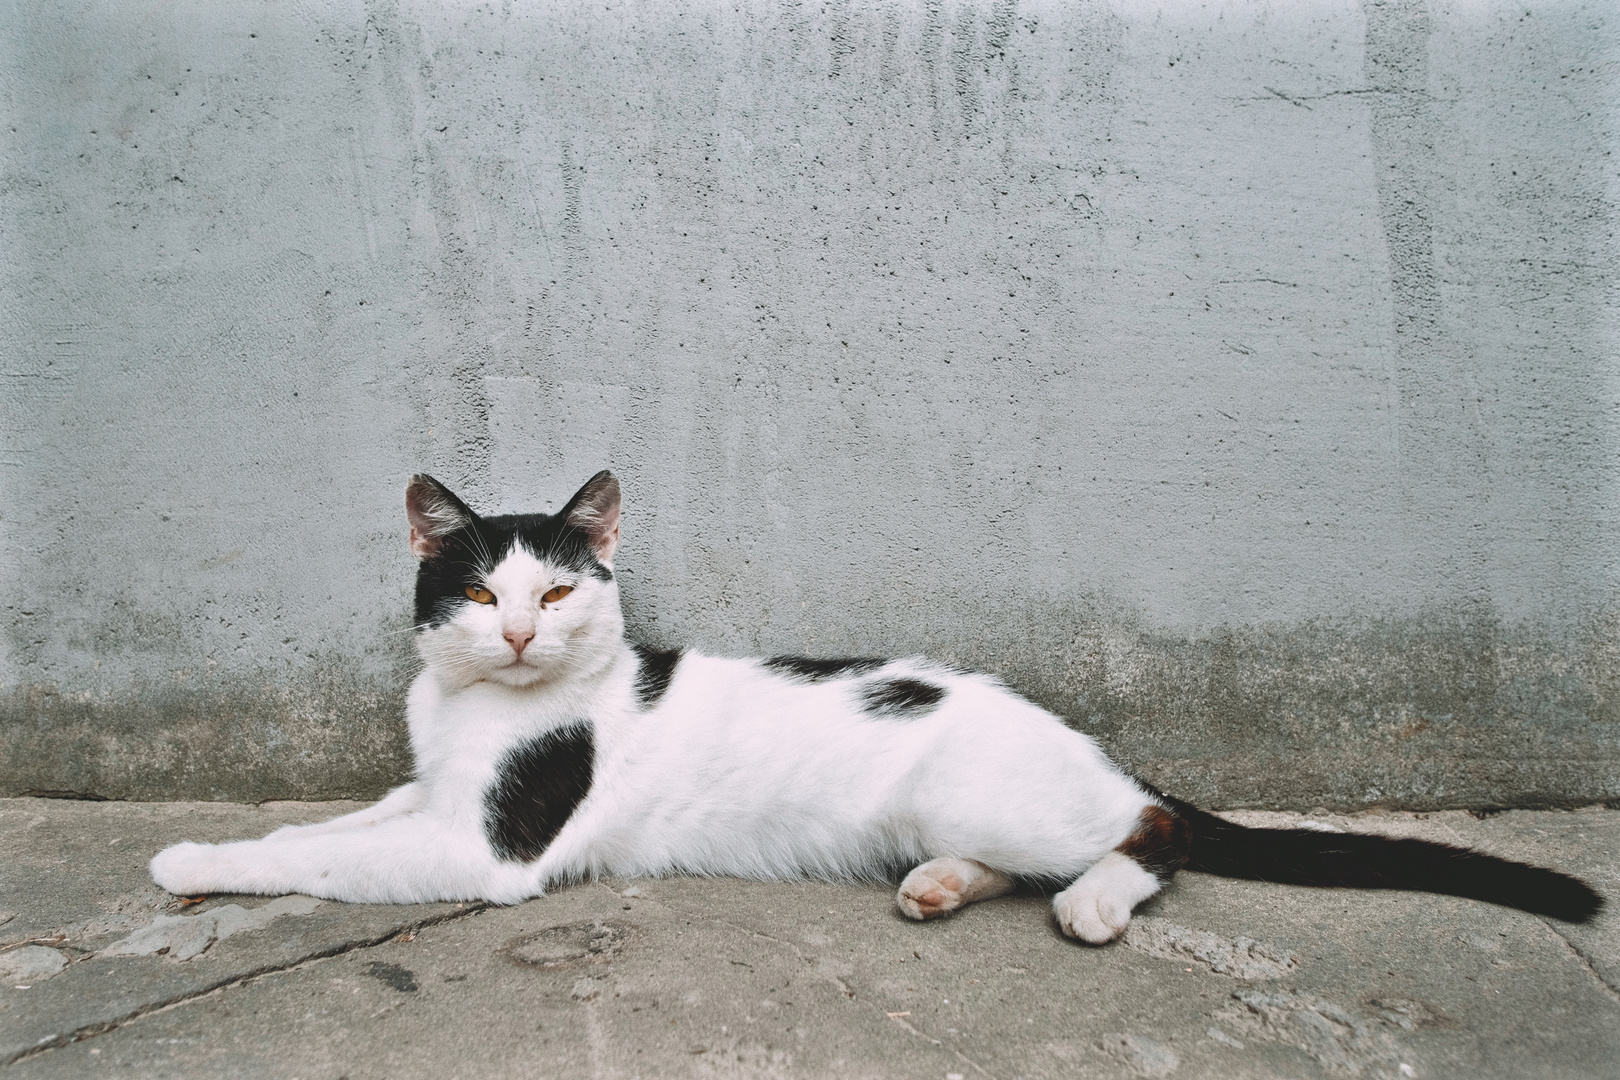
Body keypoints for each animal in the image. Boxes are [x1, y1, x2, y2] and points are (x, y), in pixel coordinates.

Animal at [149, 469, 1594, 939]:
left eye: (555, 592)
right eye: (476, 589)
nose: (513, 633)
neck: (470, 719)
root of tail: (1097, 750)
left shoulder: (486, 844)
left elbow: (331, 859)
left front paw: (190, 861)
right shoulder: (432, 793)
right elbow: (325, 830)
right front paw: (230, 844)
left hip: (998, 792)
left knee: (1157, 836)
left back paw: (1093, 898)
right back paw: (942, 886)